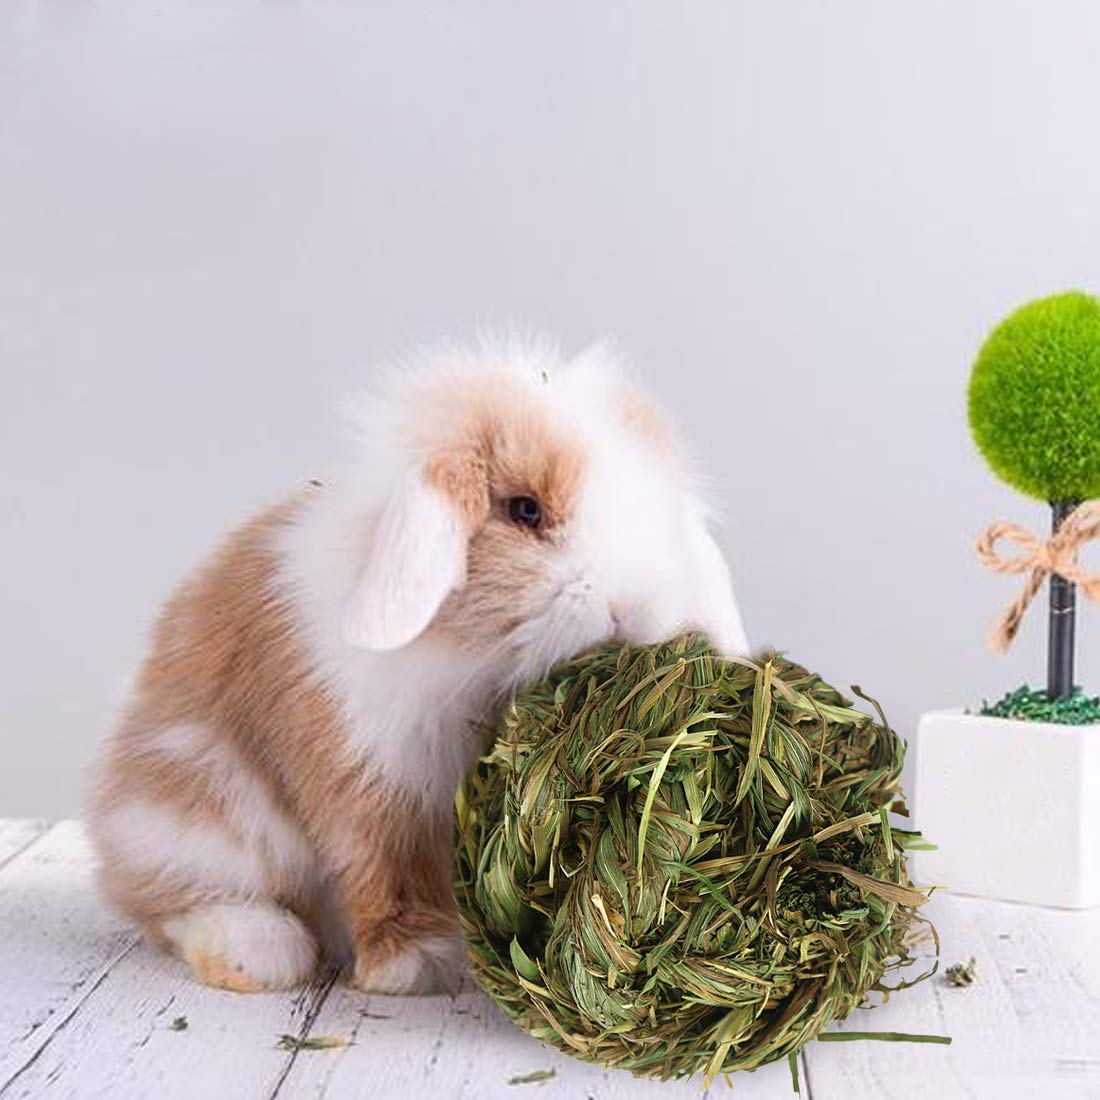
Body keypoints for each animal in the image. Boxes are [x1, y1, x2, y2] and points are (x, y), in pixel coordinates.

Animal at [86, 338, 749, 996]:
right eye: (525, 510)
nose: (631, 606)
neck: (470, 659)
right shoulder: (370, 778)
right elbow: (381, 863)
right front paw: (420, 961)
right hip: (202, 815)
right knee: (171, 904)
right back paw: (260, 953)